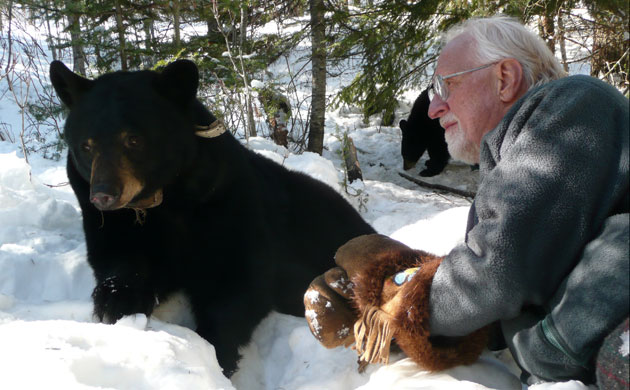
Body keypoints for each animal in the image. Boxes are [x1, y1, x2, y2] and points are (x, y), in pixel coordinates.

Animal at [50, 59, 376, 376]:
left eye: (133, 139)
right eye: (86, 145)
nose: (104, 195)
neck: (163, 200)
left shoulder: (225, 200)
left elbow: (237, 278)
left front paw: (214, 352)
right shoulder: (108, 218)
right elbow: (117, 257)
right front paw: (115, 301)